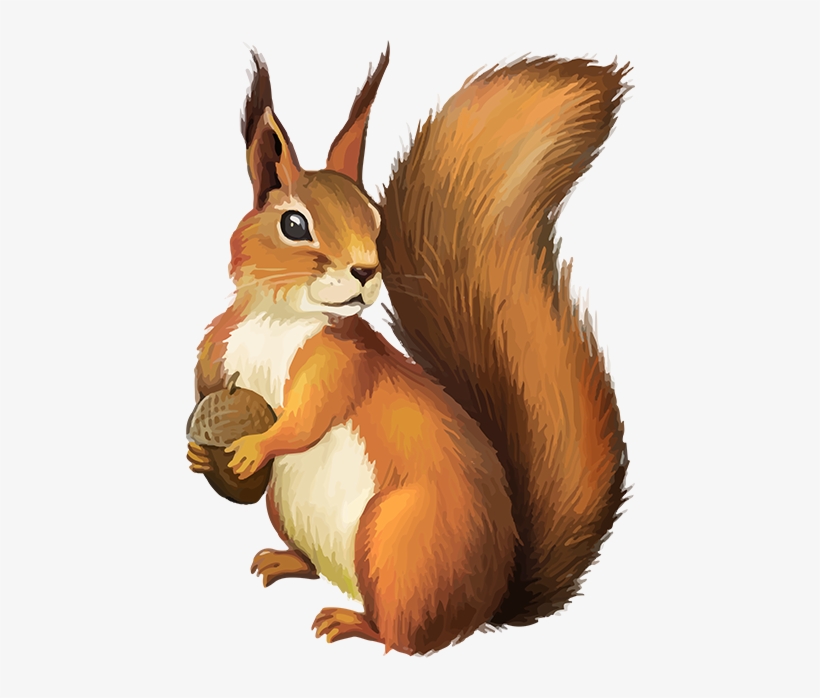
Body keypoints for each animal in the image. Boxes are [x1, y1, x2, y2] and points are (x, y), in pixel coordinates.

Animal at [187, 45, 630, 655]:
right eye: (294, 223)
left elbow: (306, 419)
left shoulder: (340, 366)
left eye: (374, 218)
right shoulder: (217, 347)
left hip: (397, 542)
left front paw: (256, 446)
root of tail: (487, 605)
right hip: (294, 512)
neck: (279, 317)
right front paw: (199, 453)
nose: (366, 270)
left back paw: (352, 623)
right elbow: (203, 392)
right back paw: (285, 561)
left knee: (403, 637)